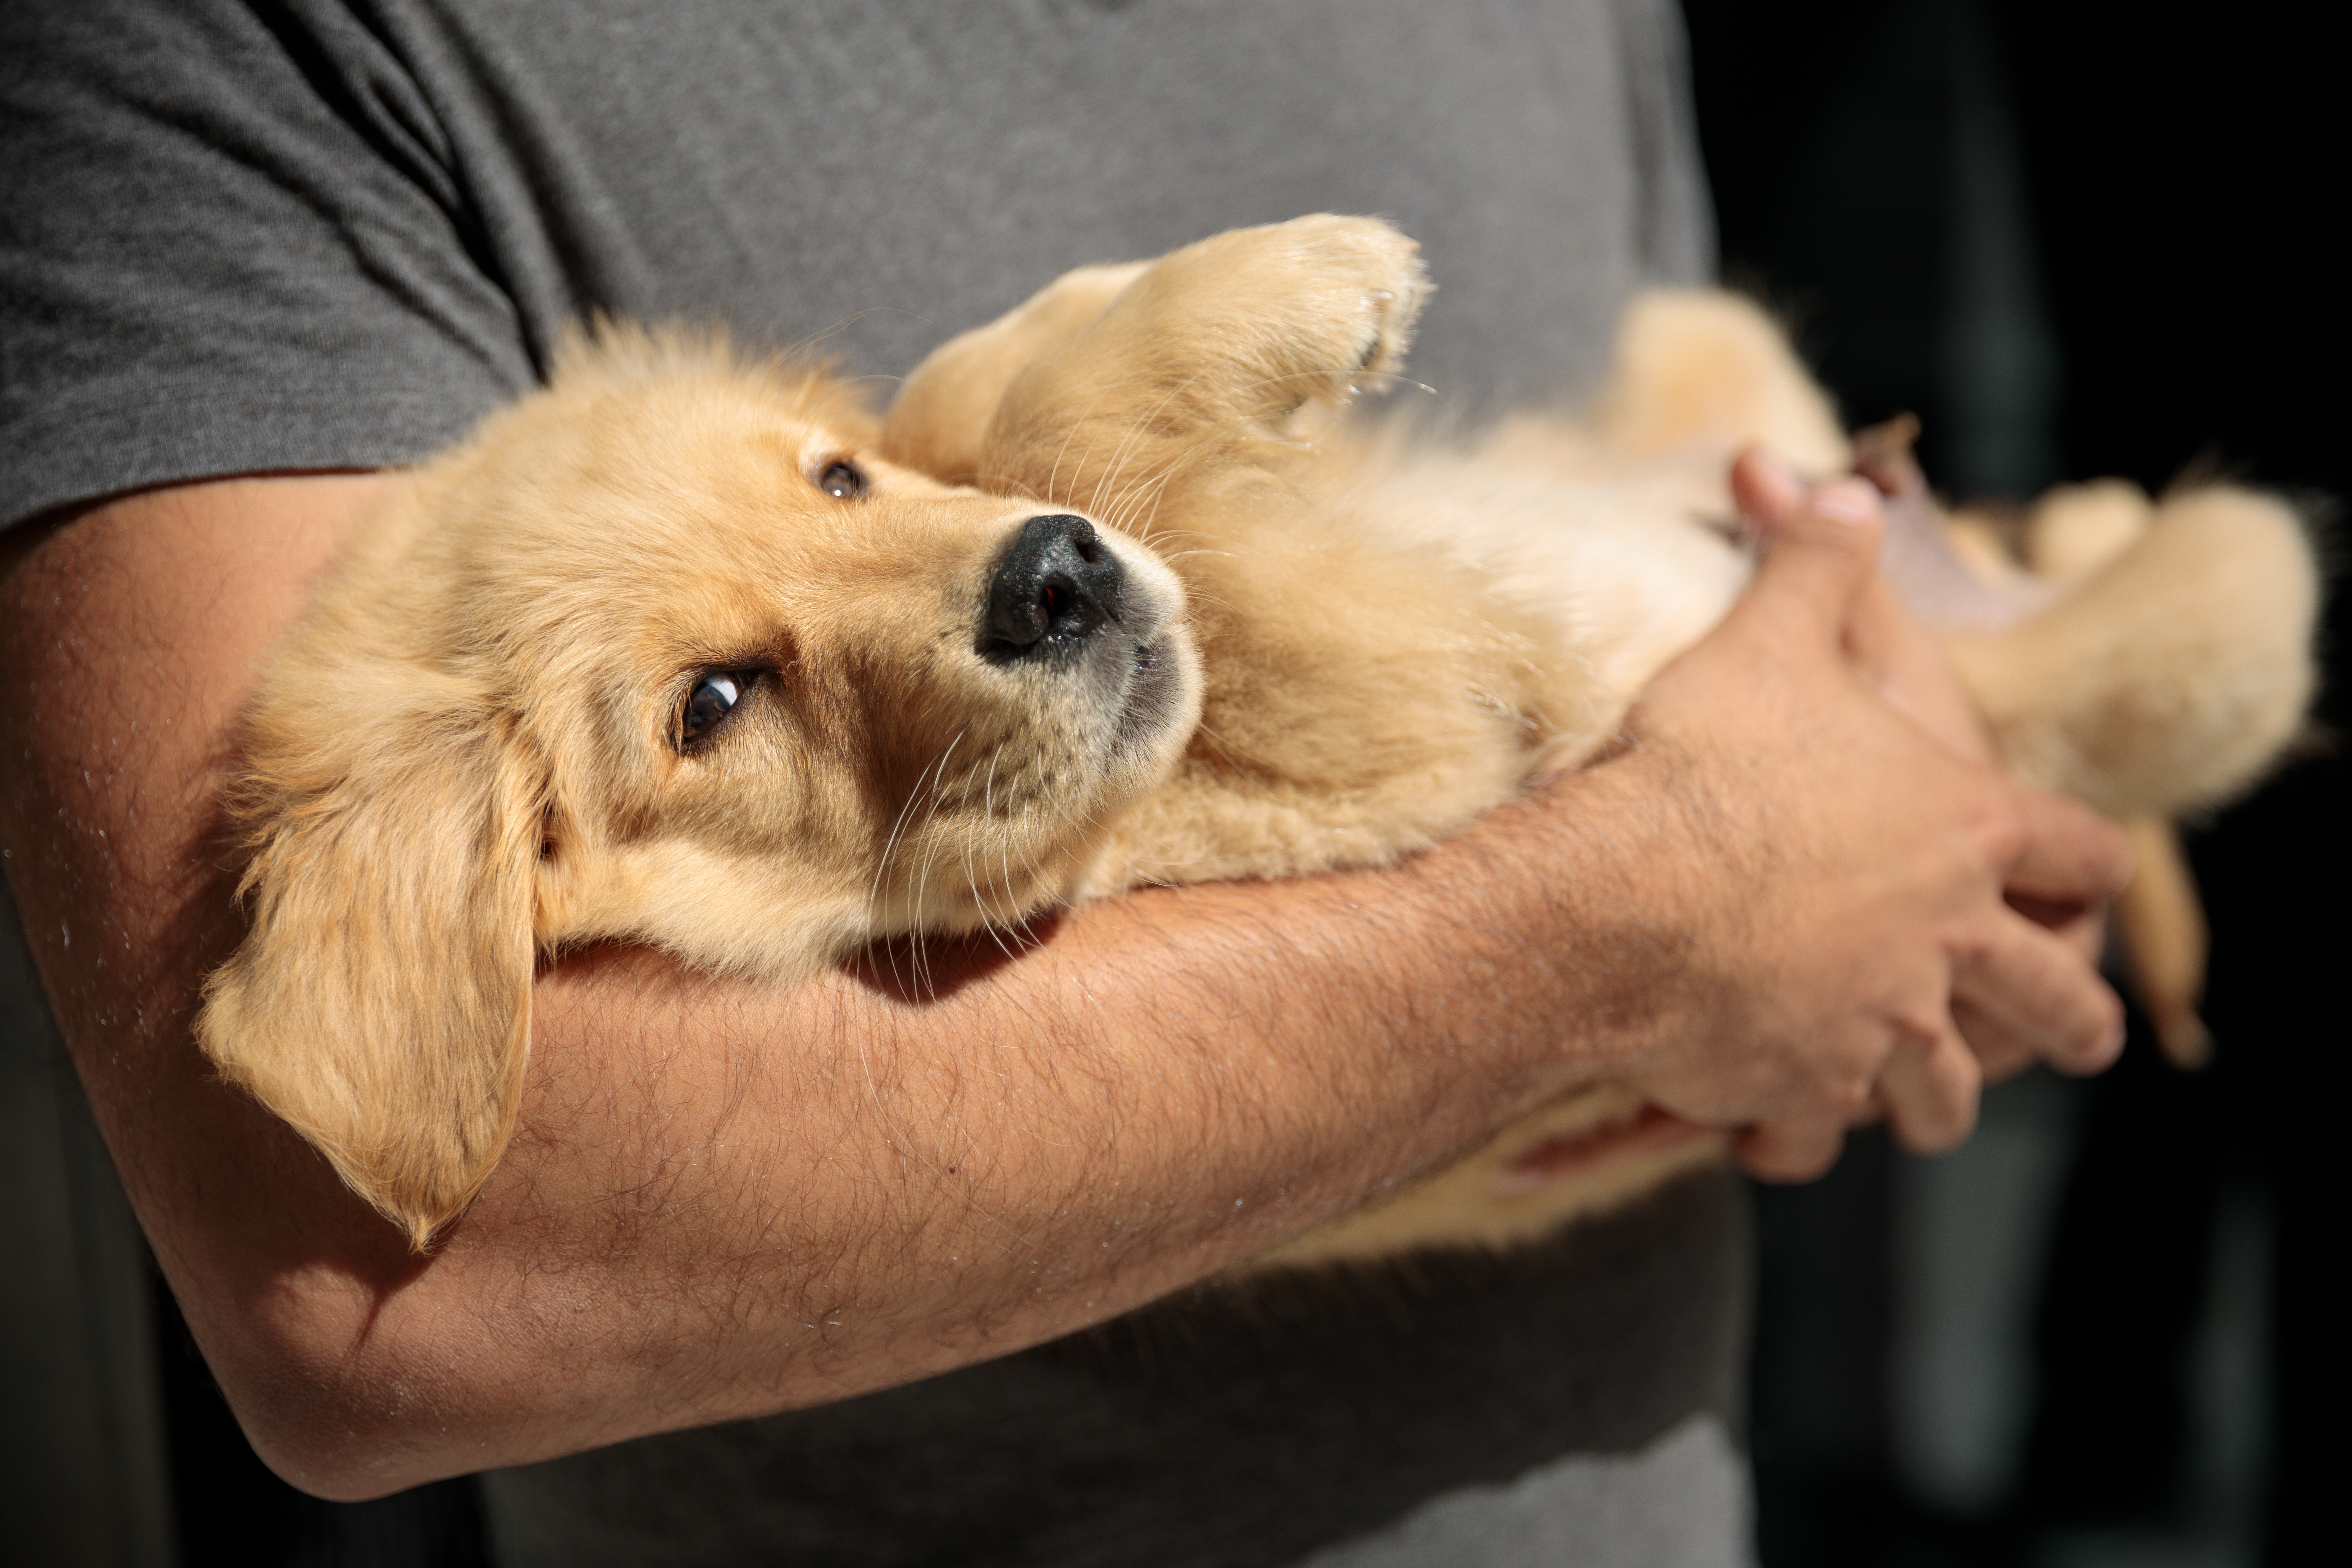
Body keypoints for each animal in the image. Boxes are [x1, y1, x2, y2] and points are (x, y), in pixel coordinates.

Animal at [198, 217, 2314, 1251]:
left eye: (835, 479)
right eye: (712, 702)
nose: (1058, 580)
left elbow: (977, 391)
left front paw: (1265, 287)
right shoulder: (1426, 713)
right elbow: (1097, 455)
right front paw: (1305, 293)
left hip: (1719, 348)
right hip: (2227, 609)